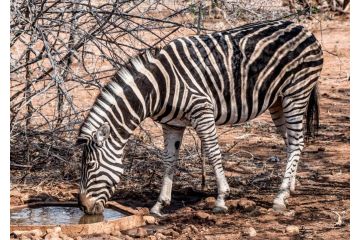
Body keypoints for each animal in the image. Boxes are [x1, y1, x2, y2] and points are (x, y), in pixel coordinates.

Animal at [77, 19, 324, 216]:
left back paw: (280, 198)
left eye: (90, 165)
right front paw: (159, 205)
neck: (158, 87)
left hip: (296, 93)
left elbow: (213, 153)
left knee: (297, 141)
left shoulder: (202, 111)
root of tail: (302, 27)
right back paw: (290, 187)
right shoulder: (171, 124)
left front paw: (221, 199)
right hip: (278, 101)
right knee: (291, 142)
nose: (83, 207)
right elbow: (169, 160)